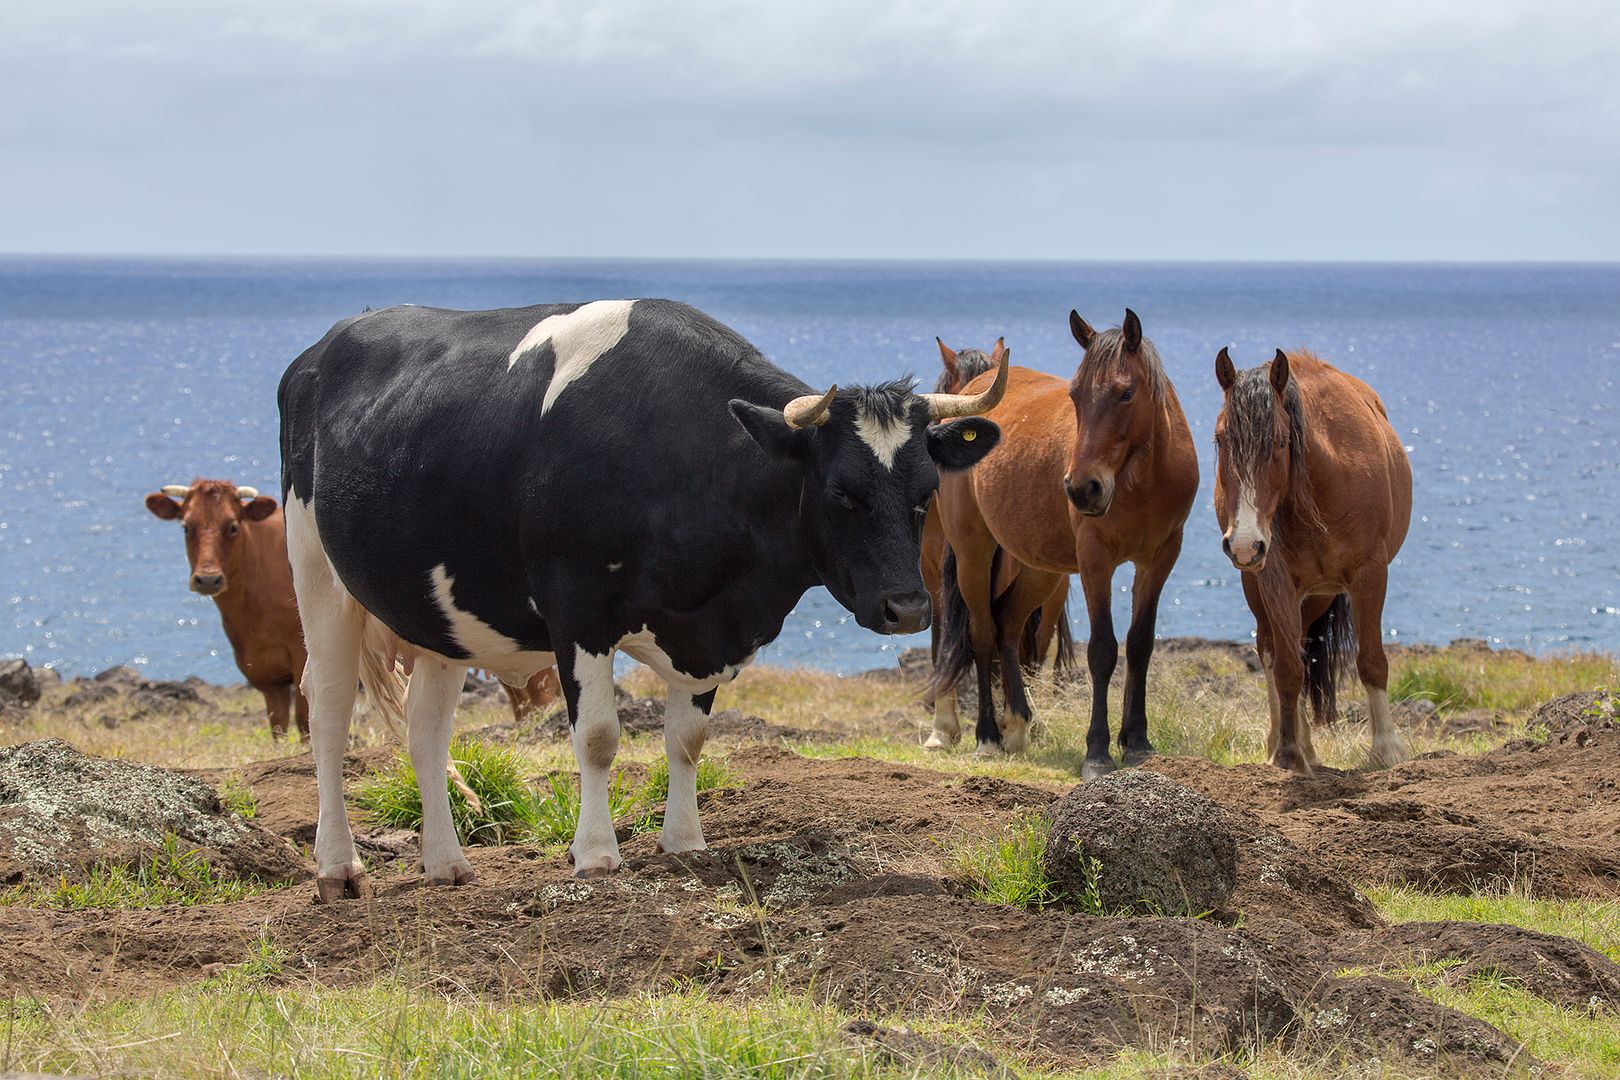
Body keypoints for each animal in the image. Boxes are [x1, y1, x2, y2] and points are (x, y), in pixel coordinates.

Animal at [147, 479, 311, 738]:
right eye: (186, 527)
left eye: (233, 527)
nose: (207, 579)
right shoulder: (266, 674)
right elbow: (278, 726)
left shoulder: (302, 656)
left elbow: (305, 722)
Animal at [285, 297, 1004, 893]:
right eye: (841, 493)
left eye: (926, 493)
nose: (908, 608)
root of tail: (324, 345)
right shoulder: (578, 608)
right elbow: (600, 736)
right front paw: (597, 853)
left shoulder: (705, 630)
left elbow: (687, 739)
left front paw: (683, 840)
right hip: (315, 568)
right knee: (328, 714)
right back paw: (339, 867)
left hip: (440, 612)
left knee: (426, 729)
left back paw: (445, 863)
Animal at [1211, 351, 1412, 773]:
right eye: (1221, 440)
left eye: (1280, 441)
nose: (1244, 544)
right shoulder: (1275, 578)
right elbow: (1288, 668)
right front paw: (1288, 753)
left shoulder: (1370, 574)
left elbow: (1372, 661)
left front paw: (1387, 749)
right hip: (1266, 588)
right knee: (1272, 650)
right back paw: (1290, 742)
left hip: (1317, 595)